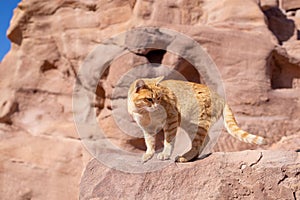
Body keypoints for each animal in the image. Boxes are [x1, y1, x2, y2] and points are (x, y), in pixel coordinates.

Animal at [127, 76, 264, 162]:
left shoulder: (171, 119)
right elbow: (149, 142)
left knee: (198, 143)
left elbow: (168, 140)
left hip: (196, 122)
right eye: (149, 99)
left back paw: (185, 157)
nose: (156, 106)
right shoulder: (147, 128)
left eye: (159, 98)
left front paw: (165, 154)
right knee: (206, 140)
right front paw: (148, 155)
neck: (144, 113)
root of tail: (221, 97)